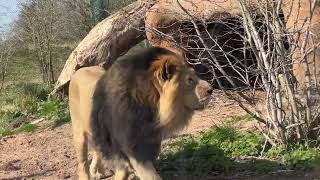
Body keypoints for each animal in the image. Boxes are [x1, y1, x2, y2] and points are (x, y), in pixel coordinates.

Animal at [69, 47, 212, 179]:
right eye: (189, 80)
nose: (210, 90)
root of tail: (79, 71)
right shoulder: (133, 149)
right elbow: (150, 176)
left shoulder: (149, 145)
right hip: (79, 134)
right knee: (82, 164)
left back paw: (97, 172)